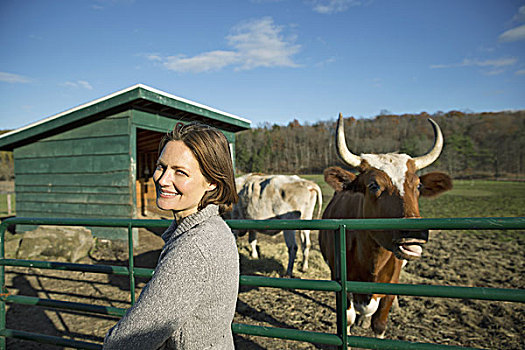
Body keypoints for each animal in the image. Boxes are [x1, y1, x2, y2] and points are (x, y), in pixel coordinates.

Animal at [318, 113, 452, 338]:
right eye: (374, 185)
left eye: (418, 186)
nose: (415, 234)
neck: (371, 258)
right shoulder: (339, 279)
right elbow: (347, 319)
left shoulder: (390, 283)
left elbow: (380, 324)